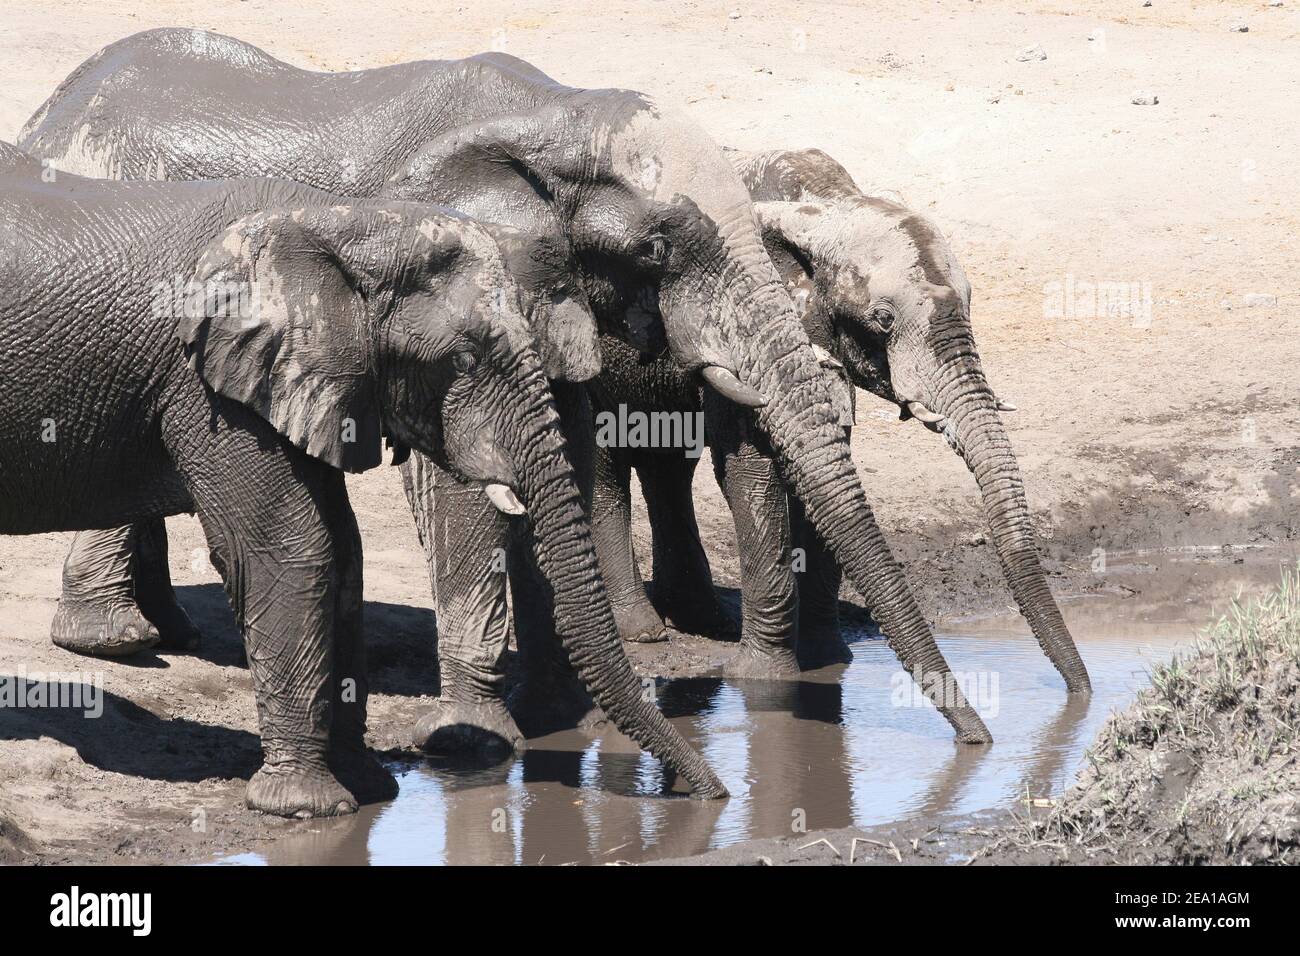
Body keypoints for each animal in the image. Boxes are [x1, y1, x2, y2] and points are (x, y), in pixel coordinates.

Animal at [0, 138, 722, 816]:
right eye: (464, 359)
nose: (714, 795)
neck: (341, 226)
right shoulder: (210, 387)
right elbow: (289, 550)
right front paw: (309, 808)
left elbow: (342, 551)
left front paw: (370, 788)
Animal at [22, 27, 993, 749]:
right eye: (656, 247)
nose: (981, 742)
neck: (554, 121)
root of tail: (56, 105)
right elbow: (466, 483)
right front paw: (481, 734)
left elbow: (560, 457)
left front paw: (564, 716)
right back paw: (119, 642)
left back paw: (163, 634)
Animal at [595, 145, 1092, 691]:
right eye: (883, 319)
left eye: (970, 304)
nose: (1082, 693)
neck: (822, 206)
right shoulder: (739, 325)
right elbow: (753, 466)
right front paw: (762, 680)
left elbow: (826, 457)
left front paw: (829, 662)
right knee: (604, 464)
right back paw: (642, 630)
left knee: (668, 464)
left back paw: (705, 620)